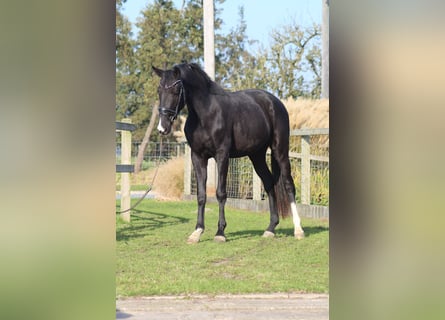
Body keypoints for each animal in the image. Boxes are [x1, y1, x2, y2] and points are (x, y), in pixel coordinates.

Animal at [151, 62, 304, 242]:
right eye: (159, 90)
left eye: (175, 91)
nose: (162, 128)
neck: (206, 114)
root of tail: (275, 102)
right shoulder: (198, 157)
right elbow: (201, 195)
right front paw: (197, 232)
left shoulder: (222, 155)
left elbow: (221, 193)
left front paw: (220, 232)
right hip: (257, 156)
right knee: (269, 183)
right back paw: (270, 229)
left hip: (280, 151)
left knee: (288, 185)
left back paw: (298, 230)